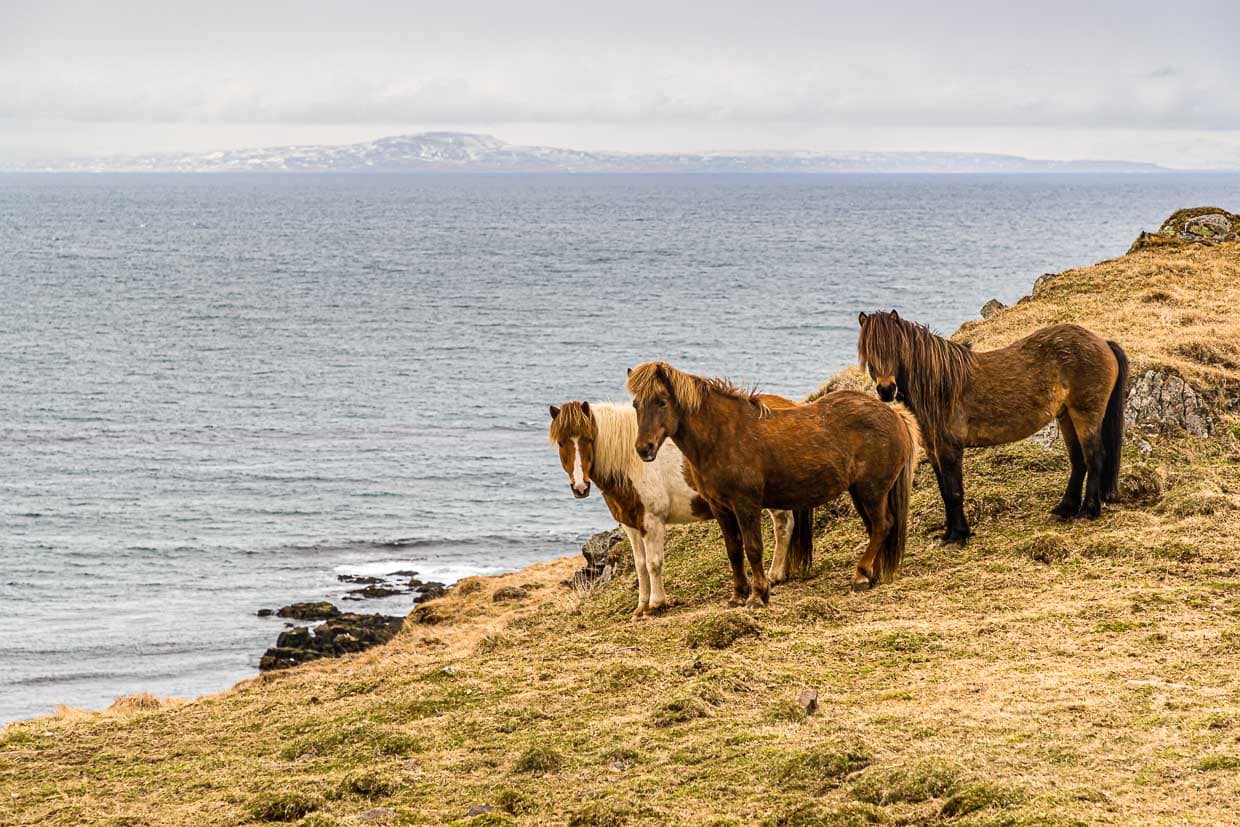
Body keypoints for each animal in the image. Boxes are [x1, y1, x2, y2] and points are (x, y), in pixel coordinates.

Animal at [548, 401, 811, 620]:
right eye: (561, 442)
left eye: (587, 439)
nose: (580, 488)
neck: (631, 463)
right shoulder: (632, 525)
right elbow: (640, 566)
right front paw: (640, 608)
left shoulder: (653, 522)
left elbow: (654, 563)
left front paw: (656, 605)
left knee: (783, 525)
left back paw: (774, 575)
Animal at [626, 362, 921, 606]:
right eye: (636, 405)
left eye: (661, 401)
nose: (644, 449)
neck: (724, 436)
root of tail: (894, 415)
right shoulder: (721, 507)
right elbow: (734, 551)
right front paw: (738, 595)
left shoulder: (746, 504)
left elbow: (753, 548)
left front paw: (758, 595)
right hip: (861, 492)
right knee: (877, 527)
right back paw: (871, 573)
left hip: (872, 491)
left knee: (882, 525)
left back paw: (860, 576)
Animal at [857, 310, 1128, 545]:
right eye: (869, 352)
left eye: (896, 348)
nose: (886, 390)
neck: (940, 386)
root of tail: (1102, 342)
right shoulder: (934, 451)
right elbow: (945, 491)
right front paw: (949, 533)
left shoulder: (950, 449)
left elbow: (954, 491)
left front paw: (958, 536)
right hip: (1066, 415)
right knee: (1079, 460)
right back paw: (1064, 510)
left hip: (1086, 413)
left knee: (1094, 457)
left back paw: (1088, 511)